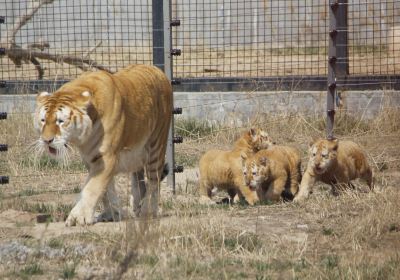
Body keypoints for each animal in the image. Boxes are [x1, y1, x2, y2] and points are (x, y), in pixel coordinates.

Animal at [33, 64, 171, 226]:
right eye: (43, 120)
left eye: (60, 121)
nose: (46, 140)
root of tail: (157, 69)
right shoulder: (92, 157)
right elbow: (105, 189)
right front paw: (111, 214)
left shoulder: (106, 157)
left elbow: (92, 188)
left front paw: (78, 218)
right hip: (136, 153)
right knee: (138, 177)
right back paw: (137, 207)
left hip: (156, 146)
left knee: (154, 181)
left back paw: (147, 211)